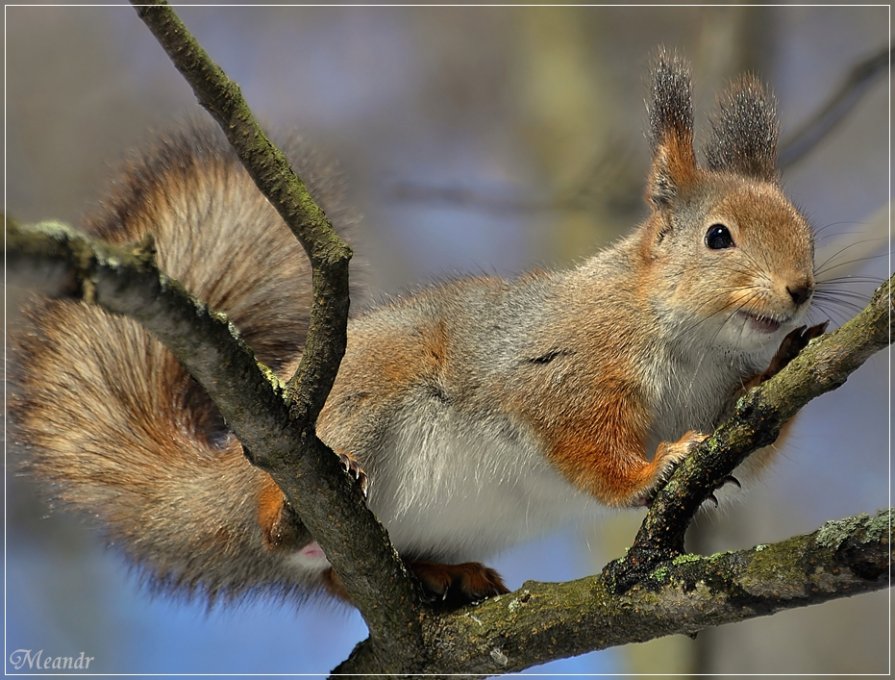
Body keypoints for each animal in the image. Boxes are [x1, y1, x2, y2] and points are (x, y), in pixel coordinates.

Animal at [15, 51, 824, 604]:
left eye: (804, 230)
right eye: (717, 237)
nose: (800, 289)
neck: (692, 342)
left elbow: (745, 440)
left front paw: (782, 362)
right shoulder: (564, 364)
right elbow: (581, 438)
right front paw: (650, 471)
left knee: (337, 579)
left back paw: (443, 573)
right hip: (361, 405)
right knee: (293, 536)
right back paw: (289, 517)